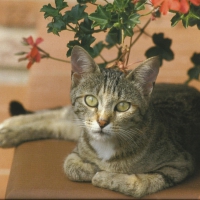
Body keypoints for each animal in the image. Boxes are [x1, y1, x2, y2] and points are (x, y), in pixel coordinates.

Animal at [0, 46, 200, 198]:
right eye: (91, 100)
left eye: (123, 106)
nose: (102, 121)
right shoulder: (78, 147)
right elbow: (70, 166)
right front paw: (94, 169)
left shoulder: (180, 163)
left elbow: (140, 184)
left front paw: (103, 176)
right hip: (77, 123)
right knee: (57, 114)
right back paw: (8, 128)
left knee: (54, 122)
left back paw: (8, 131)